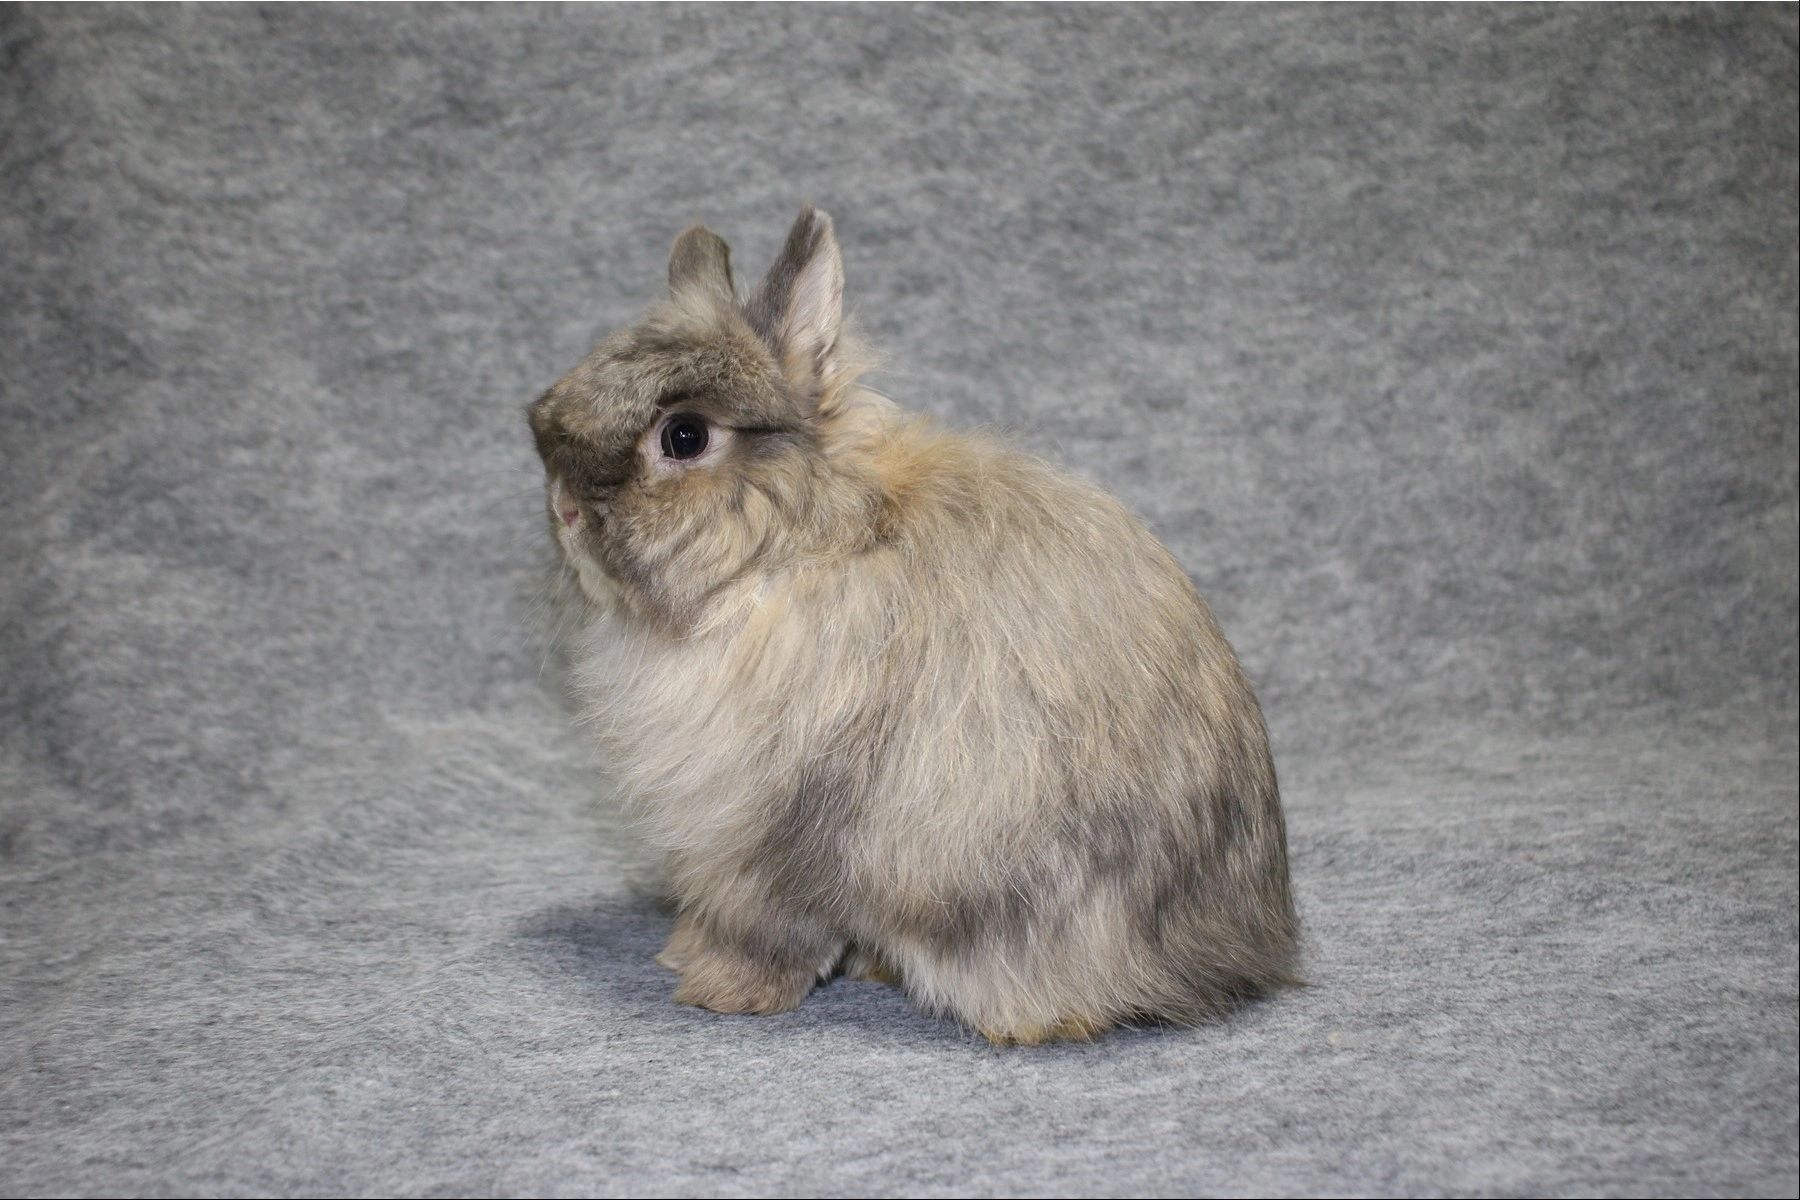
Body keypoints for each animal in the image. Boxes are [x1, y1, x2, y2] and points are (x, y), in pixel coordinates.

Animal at [527, 207, 1298, 1044]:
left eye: (684, 437)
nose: (565, 512)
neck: (789, 549)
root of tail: (1236, 957)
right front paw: (681, 952)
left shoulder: (774, 834)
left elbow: (774, 925)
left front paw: (718, 989)